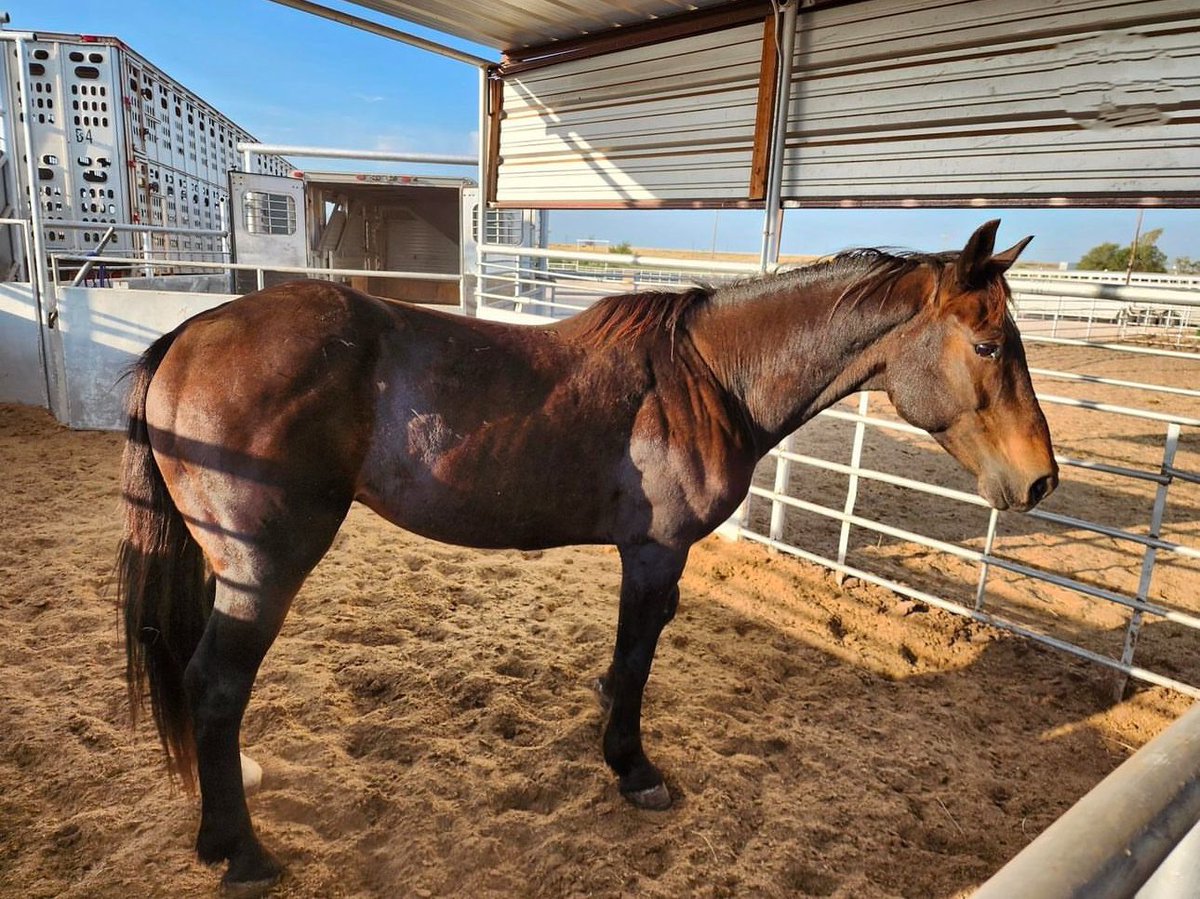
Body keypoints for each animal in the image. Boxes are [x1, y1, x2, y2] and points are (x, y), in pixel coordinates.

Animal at [118, 219, 1056, 893]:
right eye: (987, 345)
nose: (1040, 478)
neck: (707, 379)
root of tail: (190, 336)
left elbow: (627, 652)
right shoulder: (657, 551)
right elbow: (640, 653)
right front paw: (633, 766)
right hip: (262, 573)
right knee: (216, 687)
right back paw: (242, 851)